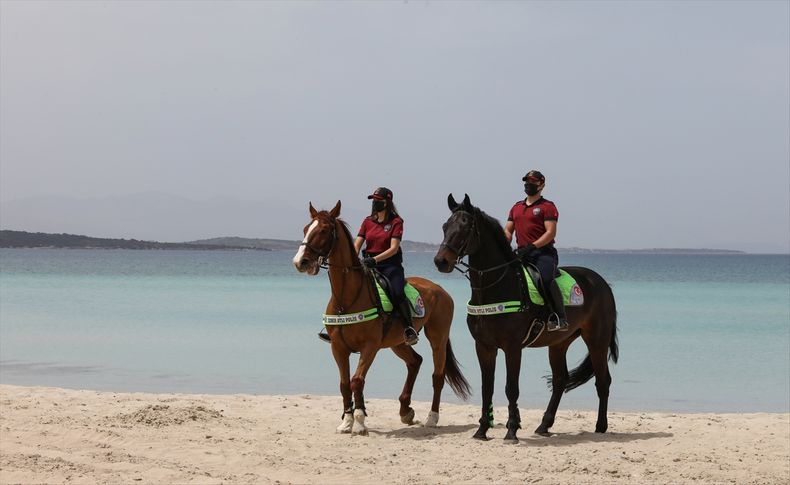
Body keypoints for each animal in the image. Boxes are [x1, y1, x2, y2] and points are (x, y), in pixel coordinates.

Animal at [296, 200, 470, 434]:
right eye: (306, 229)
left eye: (323, 230)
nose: (300, 261)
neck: (347, 298)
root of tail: (440, 289)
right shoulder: (338, 348)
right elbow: (344, 384)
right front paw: (347, 421)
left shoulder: (369, 347)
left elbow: (357, 381)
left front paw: (360, 421)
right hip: (397, 342)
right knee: (415, 362)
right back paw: (406, 411)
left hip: (438, 339)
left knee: (438, 376)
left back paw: (432, 418)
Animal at [434, 196, 620, 442]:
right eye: (445, 226)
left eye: (465, 227)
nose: (441, 261)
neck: (497, 288)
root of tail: (601, 283)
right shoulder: (484, 346)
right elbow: (487, 388)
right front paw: (482, 430)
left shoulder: (513, 347)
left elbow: (511, 388)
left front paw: (512, 429)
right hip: (559, 343)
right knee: (560, 380)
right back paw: (544, 425)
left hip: (597, 340)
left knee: (603, 381)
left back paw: (600, 426)